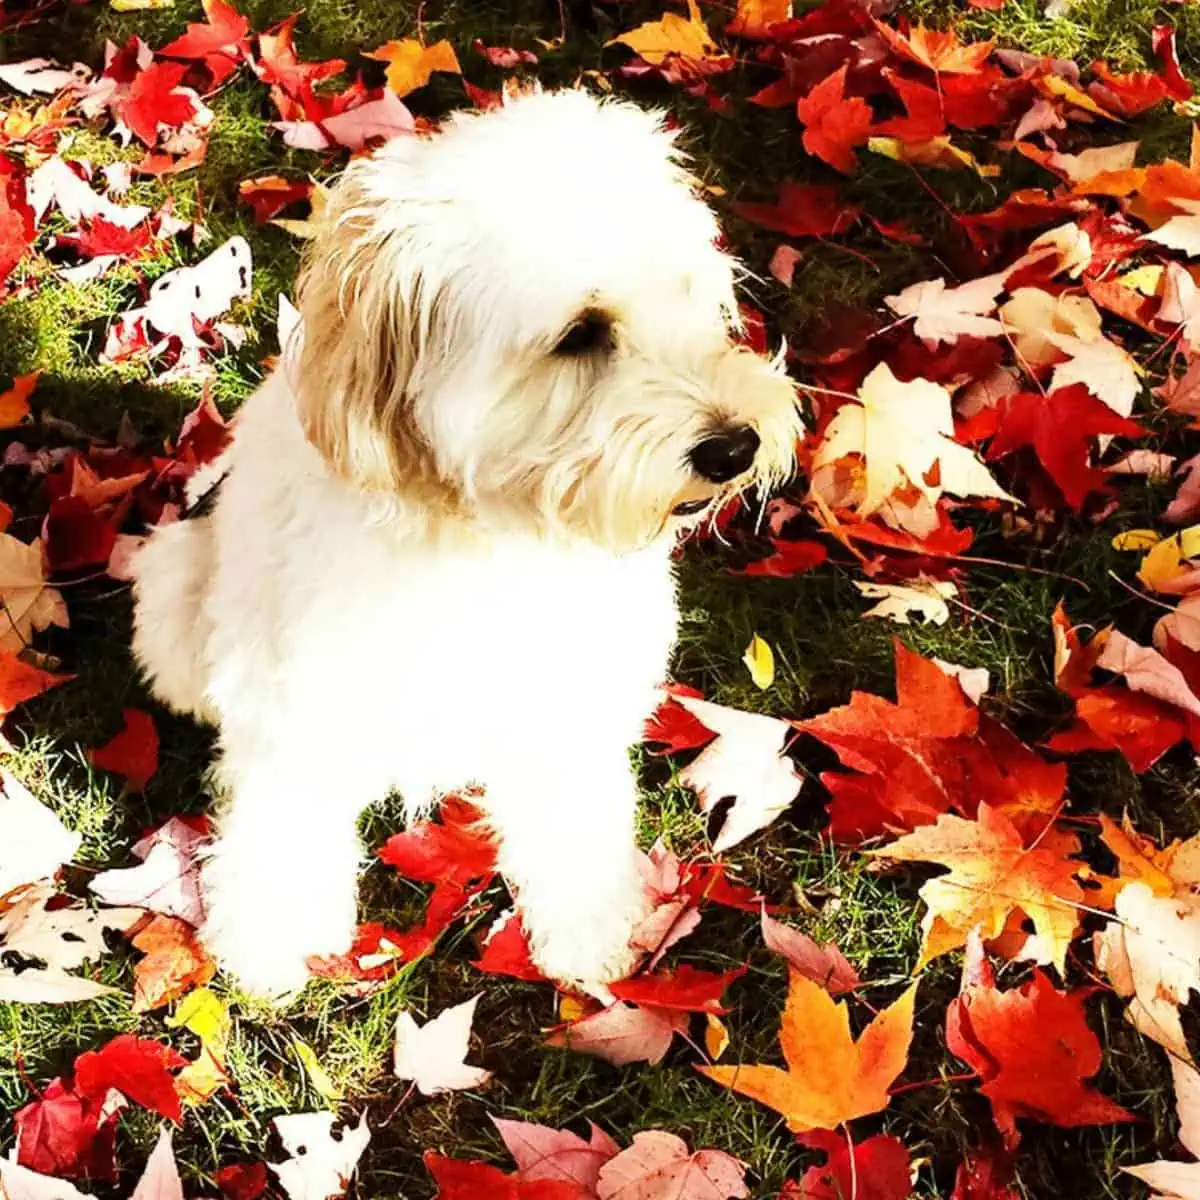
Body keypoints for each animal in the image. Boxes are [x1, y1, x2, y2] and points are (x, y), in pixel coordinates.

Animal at [131, 91, 801, 993]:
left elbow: (576, 828)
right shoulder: (297, 706)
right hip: (176, 584)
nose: (736, 447)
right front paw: (273, 940)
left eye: (691, 291)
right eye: (581, 332)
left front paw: (586, 930)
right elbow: (284, 831)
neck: (483, 541)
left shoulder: (572, 700)